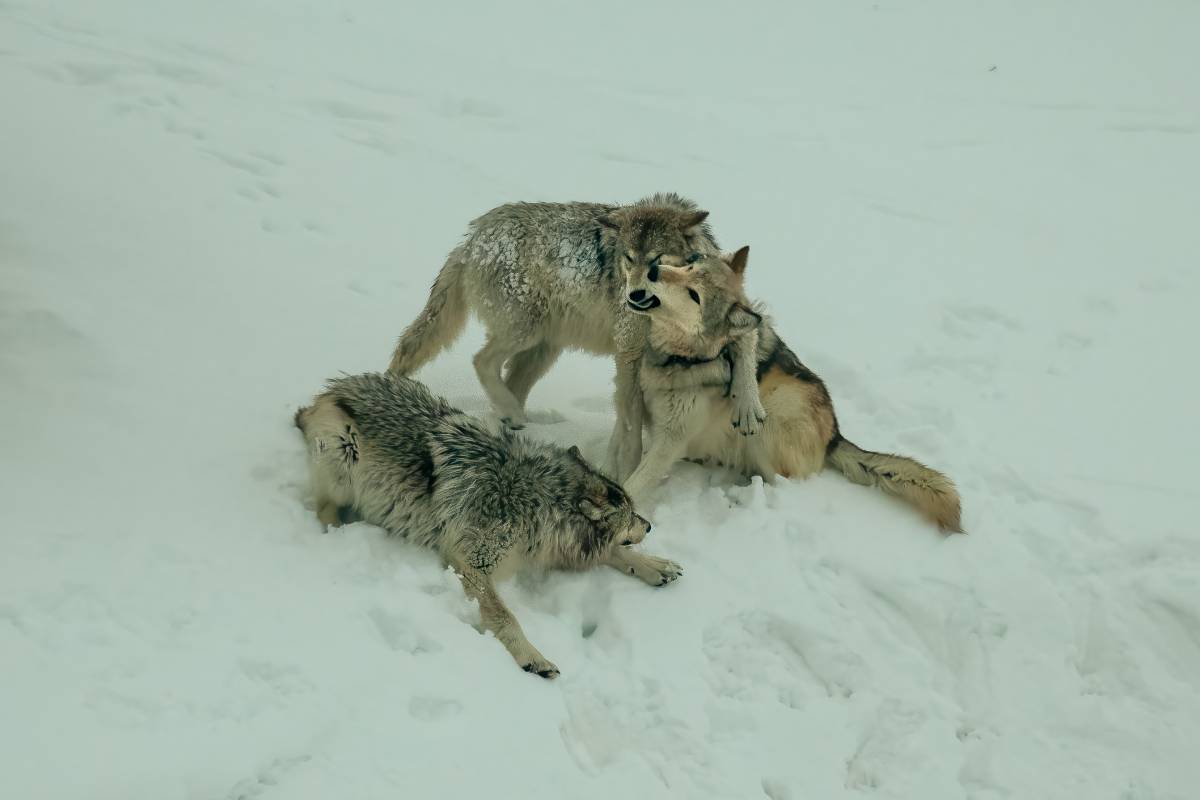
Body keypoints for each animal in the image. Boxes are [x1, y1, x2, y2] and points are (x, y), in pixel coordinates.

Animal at [295, 371, 681, 681]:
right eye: (631, 515)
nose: (649, 526)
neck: (535, 502)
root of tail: (328, 393)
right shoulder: (471, 564)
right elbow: (506, 617)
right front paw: (534, 658)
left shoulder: (555, 548)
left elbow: (615, 552)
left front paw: (656, 565)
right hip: (344, 458)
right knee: (324, 507)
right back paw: (337, 532)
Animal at [379, 191, 763, 482]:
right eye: (628, 259)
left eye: (656, 262)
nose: (633, 295)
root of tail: (472, 238)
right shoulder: (628, 353)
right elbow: (630, 422)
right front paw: (626, 467)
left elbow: (748, 339)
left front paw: (748, 407)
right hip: (527, 331)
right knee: (481, 360)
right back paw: (512, 415)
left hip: (543, 350)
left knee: (504, 381)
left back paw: (509, 422)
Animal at [624, 248, 960, 537]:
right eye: (690, 266)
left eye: (694, 295)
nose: (653, 270)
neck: (678, 357)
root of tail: (835, 435)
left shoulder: (671, 440)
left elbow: (631, 486)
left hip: (770, 417)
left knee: (778, 482)